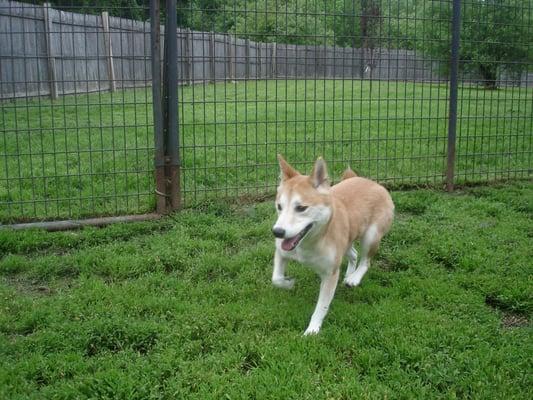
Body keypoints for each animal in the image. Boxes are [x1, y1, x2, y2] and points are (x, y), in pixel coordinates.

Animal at [272, 155, 392, 336]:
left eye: (301, 208)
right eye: (279, 206)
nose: (277, 232)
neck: (309, 243)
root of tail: (371, 182)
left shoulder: (330, 274)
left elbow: (322, 306)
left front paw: (312, 330)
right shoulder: (281, 252)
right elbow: (276, 278)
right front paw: (289, 283)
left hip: (371, 236)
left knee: (366, 261)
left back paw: (354, 278)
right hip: (348, 240)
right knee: (354, 254)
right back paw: (349, 273)